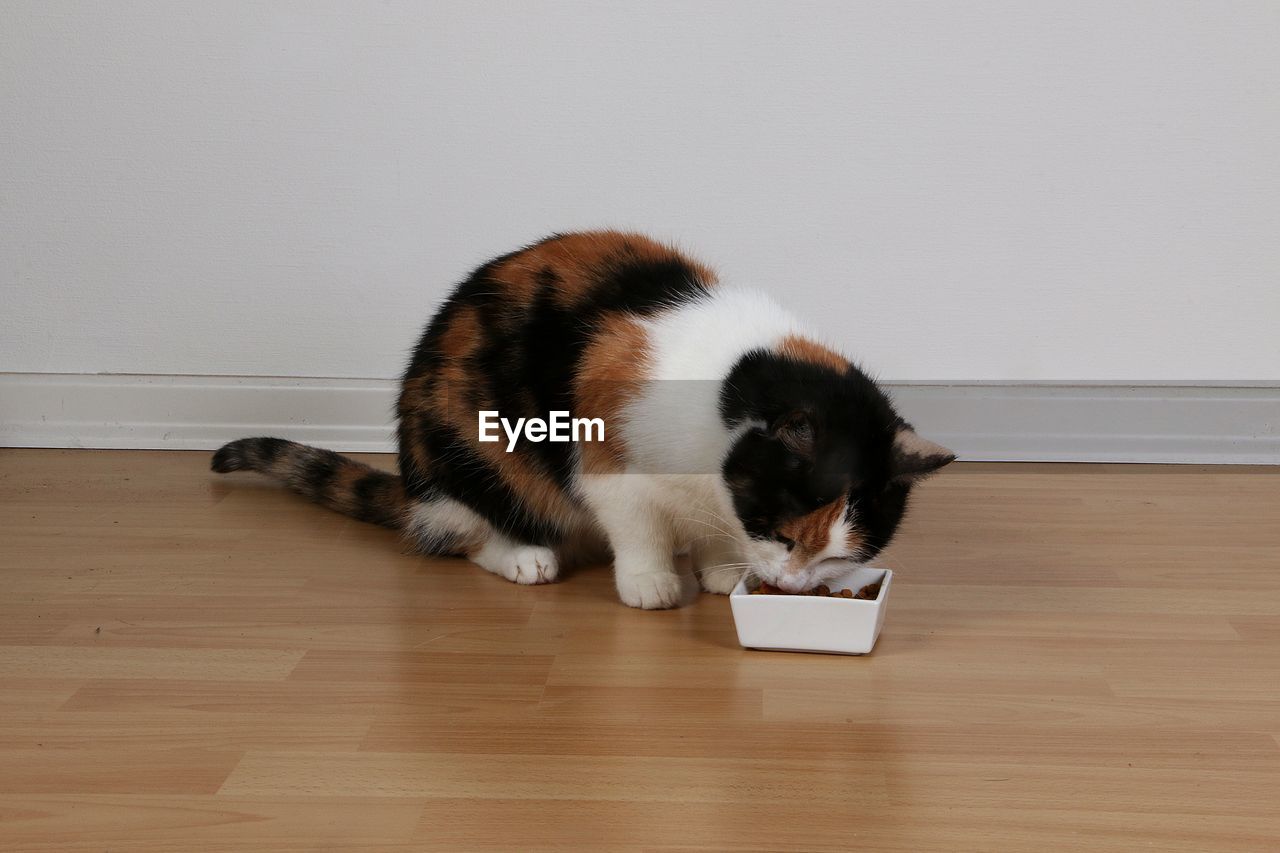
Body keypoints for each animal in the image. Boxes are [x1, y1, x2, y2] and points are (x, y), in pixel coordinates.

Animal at [212, 230, 952, 604]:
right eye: (783, 531)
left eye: (842, 555)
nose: (793, 583)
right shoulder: (606, 458)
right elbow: (638, 525)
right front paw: (652, 580)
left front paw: (717, 567)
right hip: (472, 449)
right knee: (460, 530)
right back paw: (524, 557)